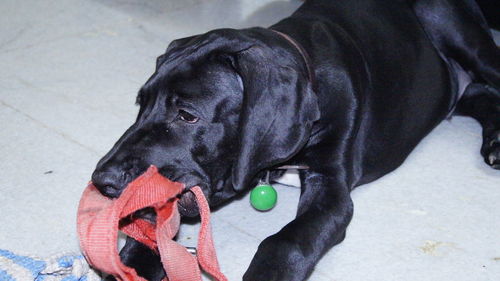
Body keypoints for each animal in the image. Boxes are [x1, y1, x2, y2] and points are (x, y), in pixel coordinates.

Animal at [92, 1, 498, 278]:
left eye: (187, 115)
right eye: (142, 104)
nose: (102, 181)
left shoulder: (332, 189)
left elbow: (284, 241)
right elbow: (157, 231)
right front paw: (133, 260)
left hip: (455, 29)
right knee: (478, 95)